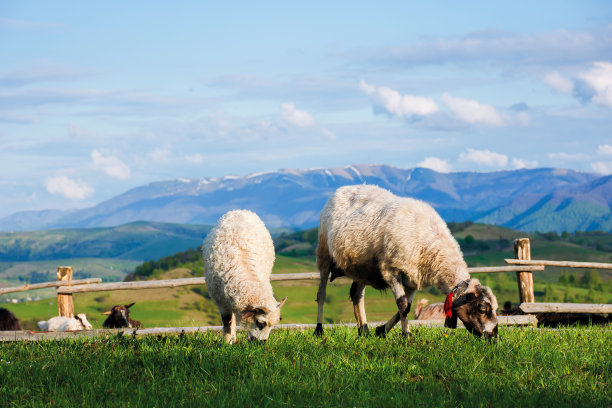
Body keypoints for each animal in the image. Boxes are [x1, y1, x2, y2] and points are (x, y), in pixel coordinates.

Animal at [201, 210, 286, 344]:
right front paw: (227, 342)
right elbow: (227, 321)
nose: (262, 343)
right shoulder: (220, 300)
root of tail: (240, 210)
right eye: (260, 323)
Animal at [316, 185, 498, 338]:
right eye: (482, 308)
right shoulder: (391, 271)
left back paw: (364, 331)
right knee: (322, 294)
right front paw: (407, 336)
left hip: (361, 268)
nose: (493, 337)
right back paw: (319, 330)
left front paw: (381, 330)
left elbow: (406, 307)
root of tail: (343, 189)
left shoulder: (413, 278)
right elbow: (402, 304)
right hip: (324, 253)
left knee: (357, 295)